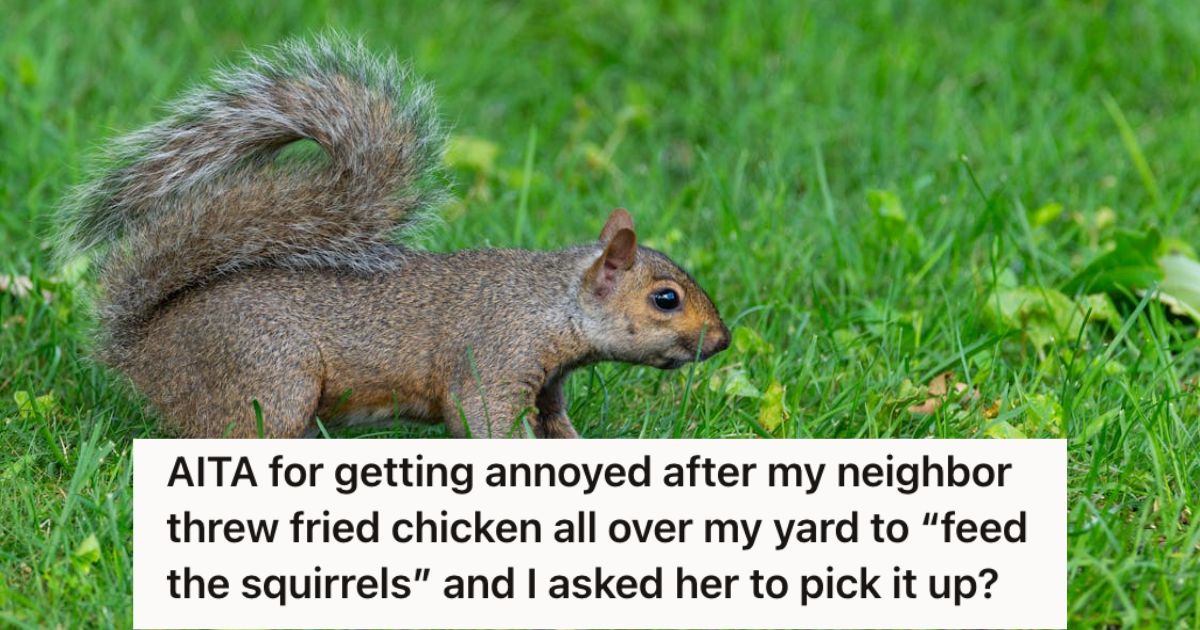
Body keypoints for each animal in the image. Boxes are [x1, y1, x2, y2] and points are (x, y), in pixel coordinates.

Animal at [58, 36, 730, 439]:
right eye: (665, 299)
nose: (722, 340)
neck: (550, 302)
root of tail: (143, 350)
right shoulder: (495, 357)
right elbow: (485, 420)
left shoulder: (547, 385)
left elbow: (556, 428)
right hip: (269, 377)